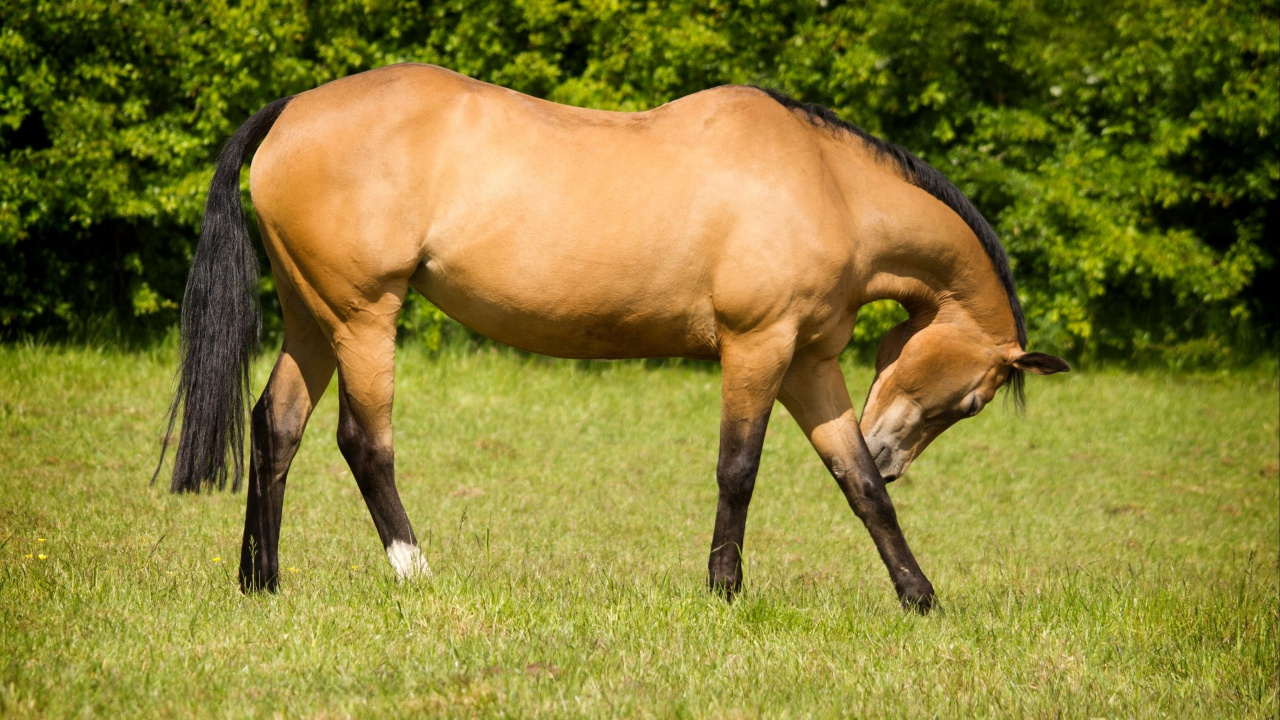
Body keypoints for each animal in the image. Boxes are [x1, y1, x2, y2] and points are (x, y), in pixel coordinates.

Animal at [157, 63, 1068, 613]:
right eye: (974, 399)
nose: (895, 452)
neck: (825, 186)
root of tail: (290, 112)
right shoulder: (758, 348)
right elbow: (739, 470)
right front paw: (724, 590)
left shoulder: (809, 363)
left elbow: (857, 486)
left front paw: (919, 596)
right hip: (363, 319)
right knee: (362, 442)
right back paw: (414, 569)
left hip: (313, 316)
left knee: (276, 427)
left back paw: (261, 580)